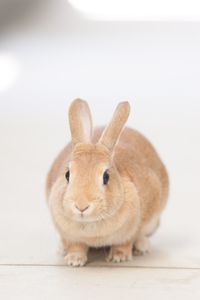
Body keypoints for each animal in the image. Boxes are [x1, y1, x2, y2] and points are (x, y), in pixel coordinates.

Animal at [45, 99, 169, 268]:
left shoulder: (131, 231)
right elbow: (76, 246)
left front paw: (119, 257)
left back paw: (142, 248)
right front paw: (74, 260)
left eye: (106, 176)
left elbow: (125, 242)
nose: (81, 206)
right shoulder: (72, 236)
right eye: (67, 175)